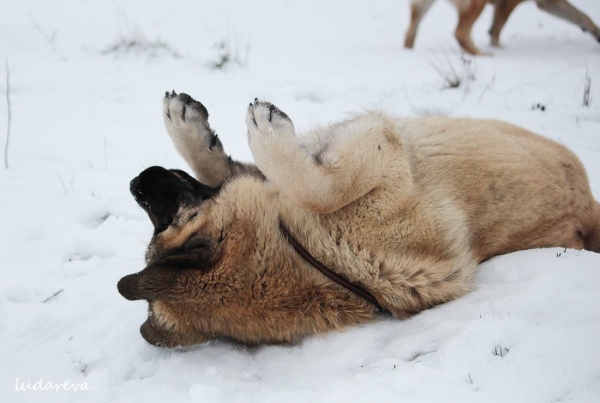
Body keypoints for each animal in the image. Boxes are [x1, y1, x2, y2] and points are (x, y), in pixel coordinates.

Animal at [117, 91, 600, 348]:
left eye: (166, 219)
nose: (135, 183)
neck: (309, 252)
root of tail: (589, 211)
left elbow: (286, 180)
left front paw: (202, 131)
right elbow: (301, 182)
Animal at [404, 0, 600, 54]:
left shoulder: (548, 2)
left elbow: (583, 16)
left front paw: (597, 33)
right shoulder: (506, 5)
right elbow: (496, 32)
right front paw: (498, 48)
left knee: (408, 35)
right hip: (478, 4)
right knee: (460, 33)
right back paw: (484, 54)